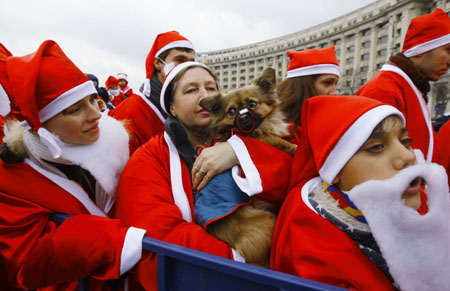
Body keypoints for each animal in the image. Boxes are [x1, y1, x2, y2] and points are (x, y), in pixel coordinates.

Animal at [198, 67, 296, 268]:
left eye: (252, 103)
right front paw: (294, 147)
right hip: (267, 221)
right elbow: (275, 140)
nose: (243, 117)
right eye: (231, 111)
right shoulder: (260, 139)